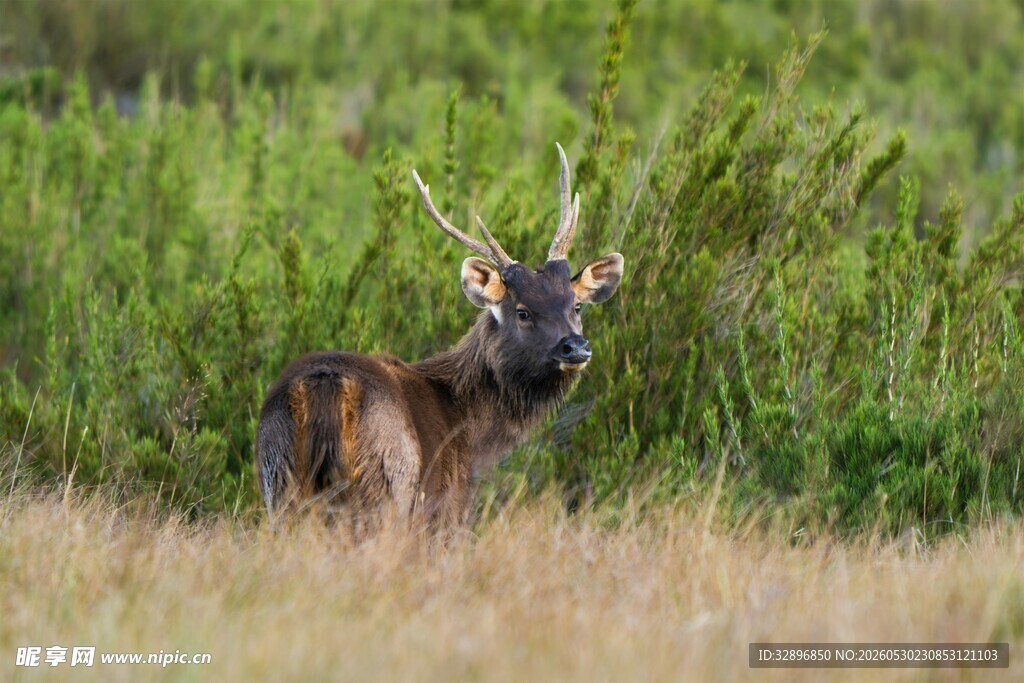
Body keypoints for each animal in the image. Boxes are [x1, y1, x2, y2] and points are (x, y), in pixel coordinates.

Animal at [255, 143, 624, 532]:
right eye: (523, 312)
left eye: (576, 306)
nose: (575, 347)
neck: (471, 436)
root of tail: (327, 385)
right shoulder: (446, 512)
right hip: (386, 486)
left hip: (278, 481)